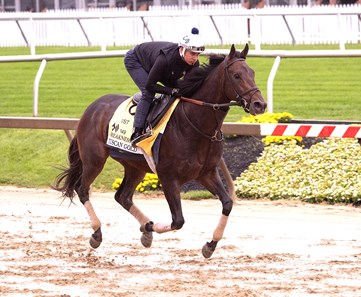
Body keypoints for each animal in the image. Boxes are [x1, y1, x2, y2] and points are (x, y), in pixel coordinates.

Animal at [54, 43, 268, 256]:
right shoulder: (168, 177)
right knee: (82, 189)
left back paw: (144, 230)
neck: (195, 124)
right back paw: (97, 233)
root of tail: (91, 108)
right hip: (94, 159)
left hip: (135, 166)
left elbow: (227, 203)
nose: (260, 104)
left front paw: (210, 244)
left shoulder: (206, 173)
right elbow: (178, 221)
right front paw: (149, 228)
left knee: (122, 196)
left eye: (252, 72)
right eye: (237, 75)